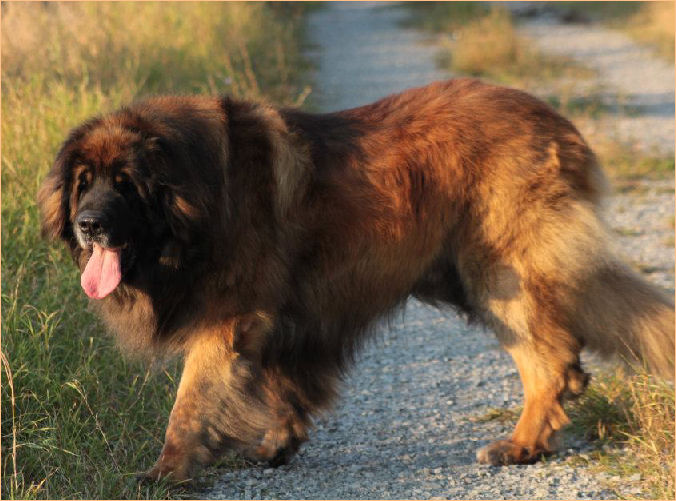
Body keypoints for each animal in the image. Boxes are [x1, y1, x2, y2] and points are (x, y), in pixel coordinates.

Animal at [38, 79, 675, 481]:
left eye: (126, 183)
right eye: (84, 182)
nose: (88, 224)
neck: (194, 199)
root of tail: (556, 122)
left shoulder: (229, 322)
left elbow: (191, 403)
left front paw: (169, 470)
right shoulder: (282, 315)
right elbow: (280, 385)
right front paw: (277, 445)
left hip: (498, 273)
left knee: (550, 361)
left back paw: (519, 445)